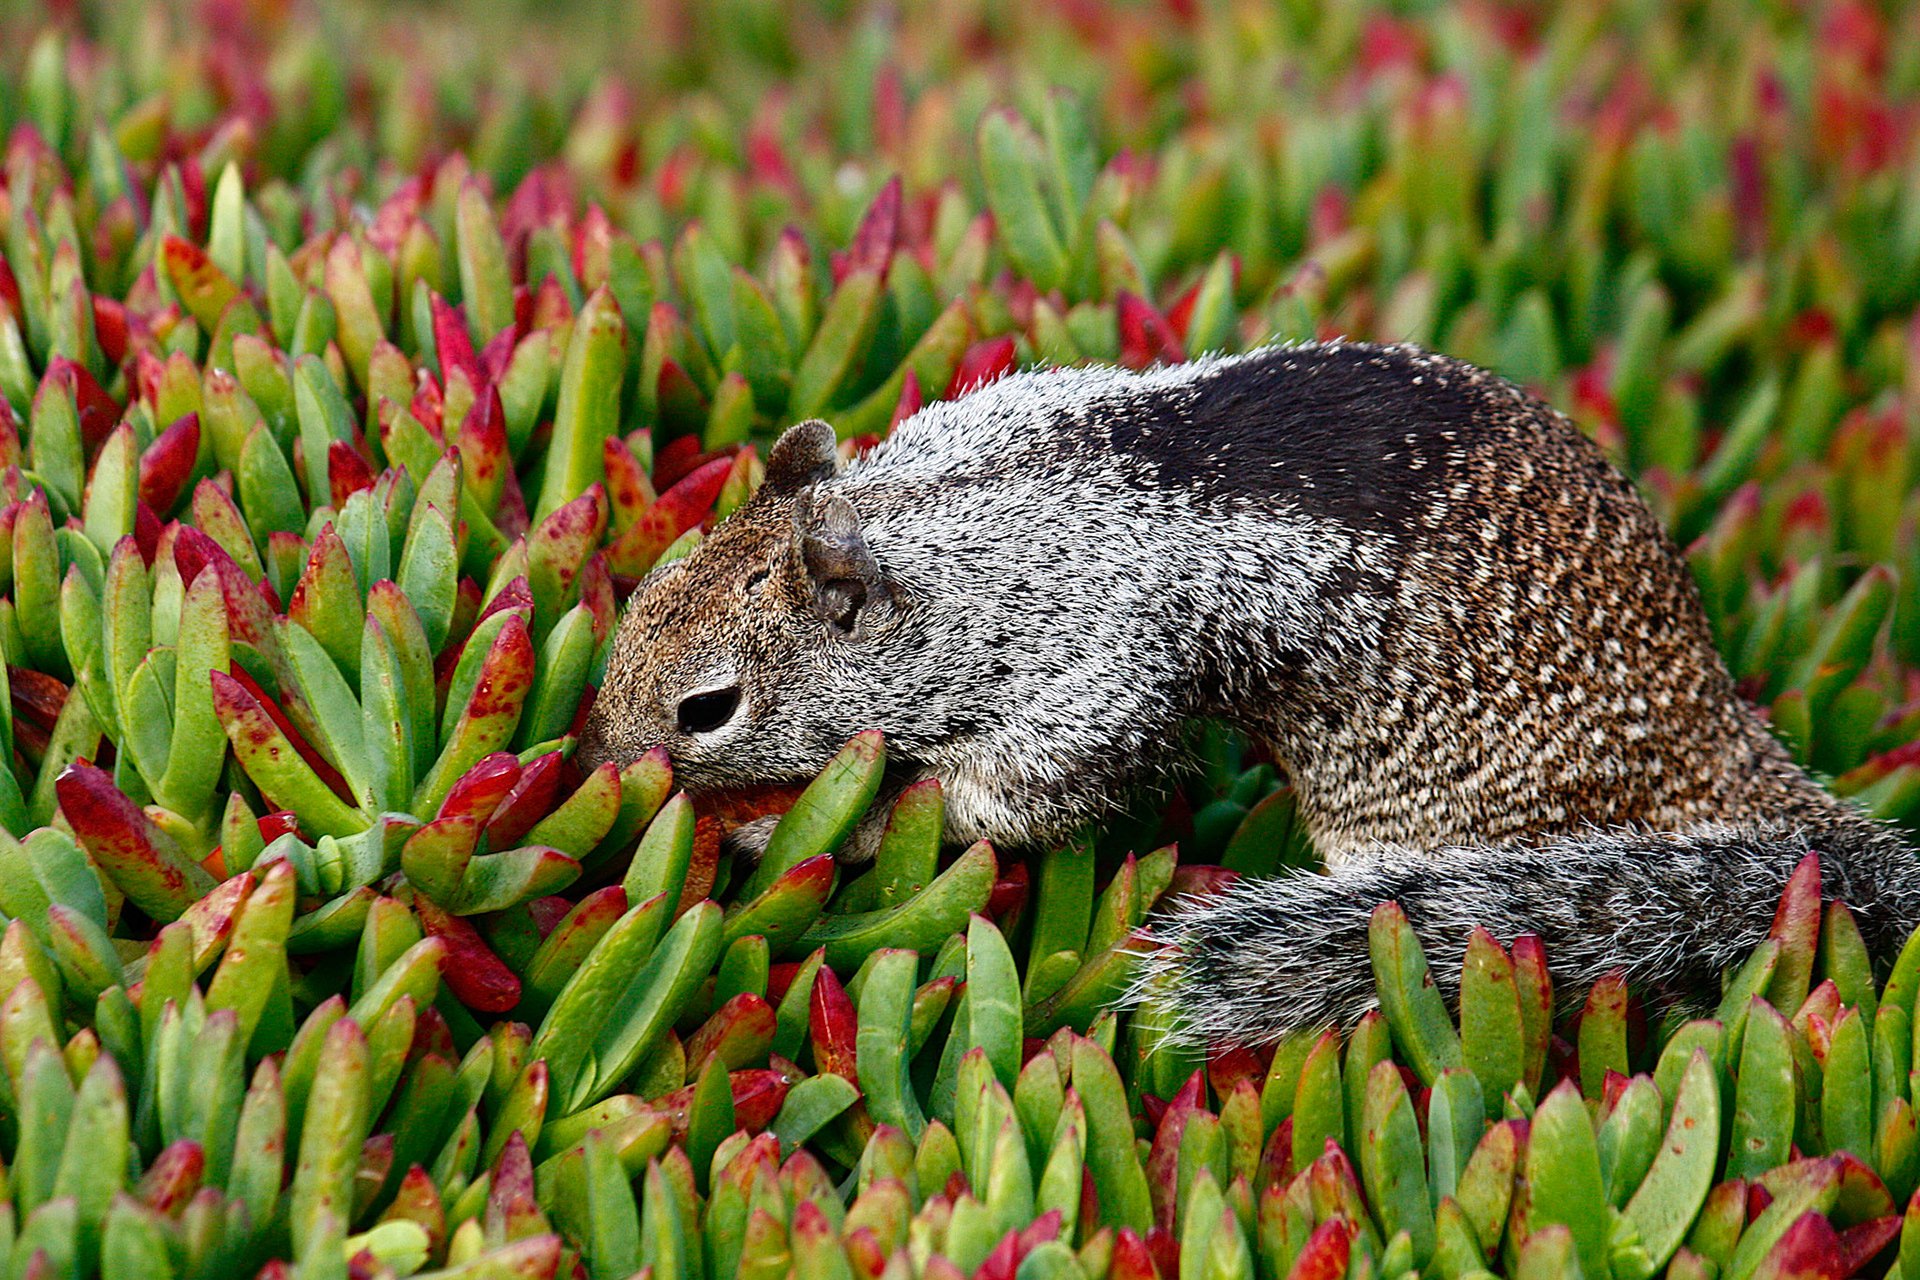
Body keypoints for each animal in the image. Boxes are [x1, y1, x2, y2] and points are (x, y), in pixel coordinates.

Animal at [575, 341, 1920, 1045]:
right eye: (642, 601)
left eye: (706, 709)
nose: (600, 759)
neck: (942, 525)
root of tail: (1722, 749)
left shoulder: (1087, 669)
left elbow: (1001, 799)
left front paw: (797, 822)